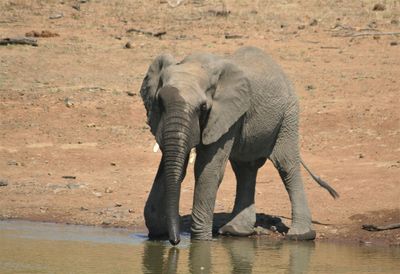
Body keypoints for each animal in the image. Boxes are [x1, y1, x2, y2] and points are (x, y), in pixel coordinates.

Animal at [141, 46, 338, 245]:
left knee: (286, 165)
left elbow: (207, 170)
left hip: (289, 114)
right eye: (160, 102)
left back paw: (300, 235)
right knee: (245, 169)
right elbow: (174, 166)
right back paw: (235, 231)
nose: (175, 241)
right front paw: (158, 231)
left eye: (203, 108)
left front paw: (201, 241)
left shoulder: (226, 114)